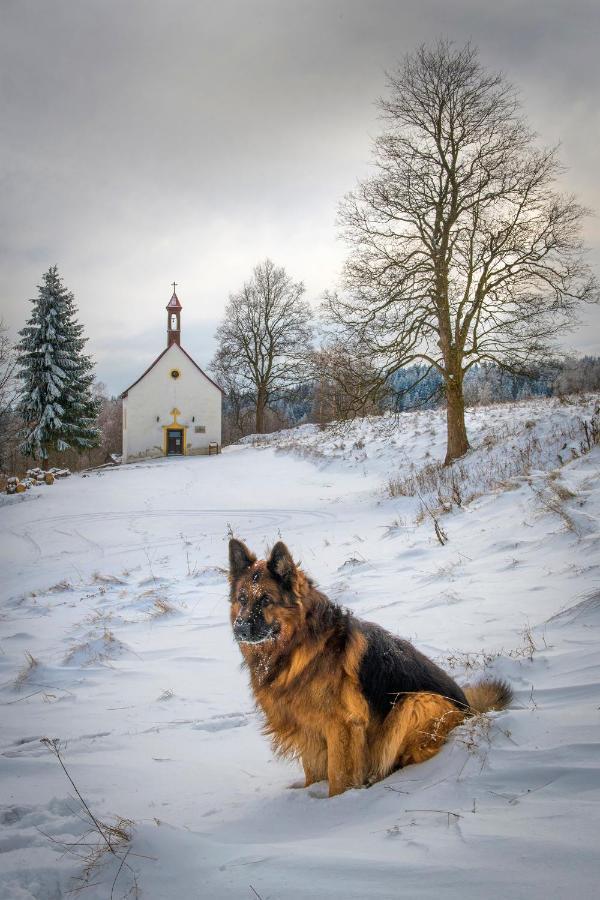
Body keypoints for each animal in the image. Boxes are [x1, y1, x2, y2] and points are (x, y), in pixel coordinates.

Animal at [229, 536, 510, 800]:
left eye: (265, 599)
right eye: (242, 599)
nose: (239, 628)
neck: (297, 646)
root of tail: (471, 710)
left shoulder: (342, 726)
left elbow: (339, 777)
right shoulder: (309, 727)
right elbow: (313, 773)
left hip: (415, 702)